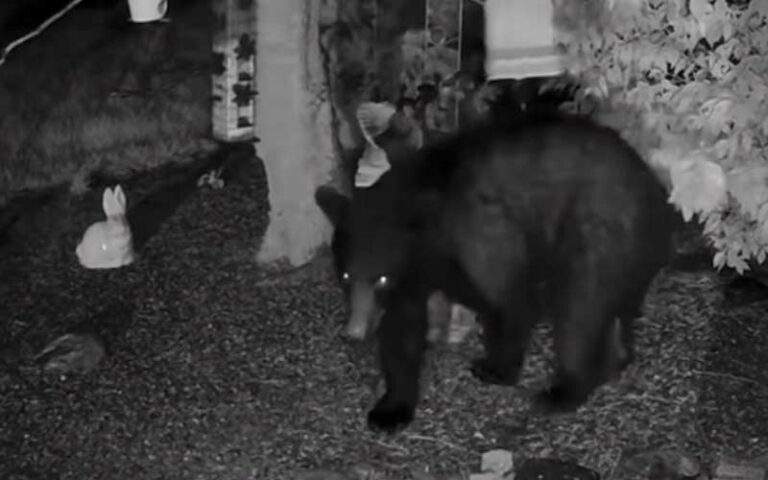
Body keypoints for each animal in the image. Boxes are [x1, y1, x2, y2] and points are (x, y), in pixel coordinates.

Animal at [316, 110, 675, 434]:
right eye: (345, 277)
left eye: (381, 278)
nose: (355, 332)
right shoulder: (412, 276)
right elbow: (401, 331)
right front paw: (390, 410)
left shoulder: (478, 233)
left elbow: (509, 298)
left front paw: (496, 369)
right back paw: (615, 357)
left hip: (601, 235)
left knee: (579, 310)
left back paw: (563, 391)